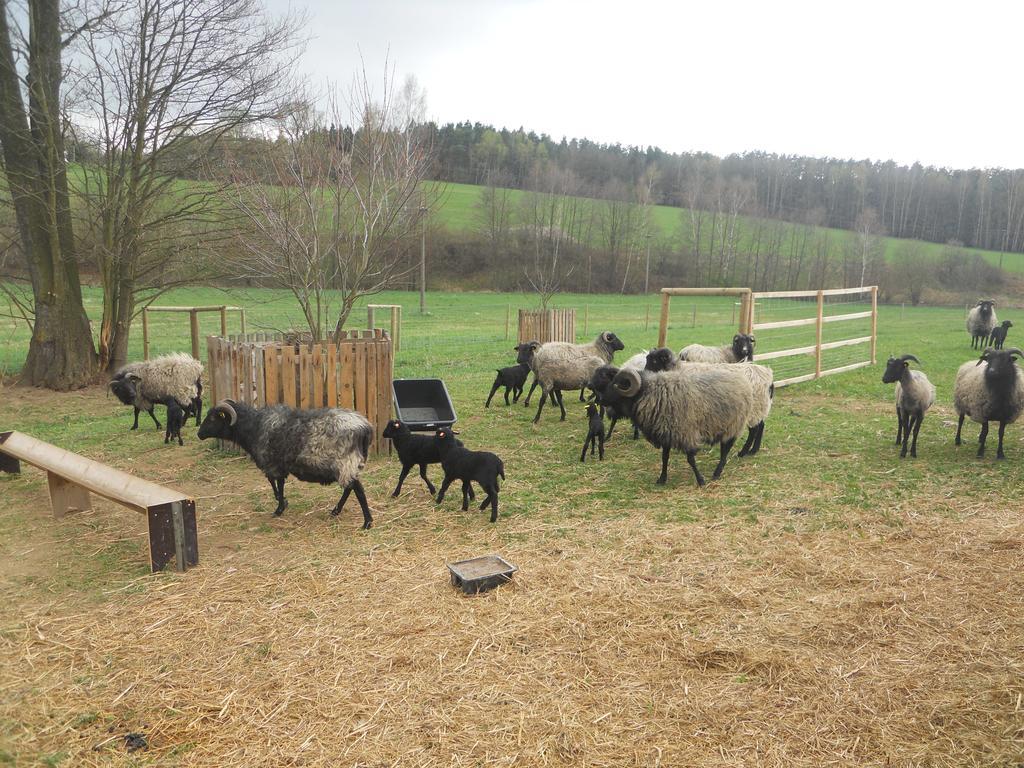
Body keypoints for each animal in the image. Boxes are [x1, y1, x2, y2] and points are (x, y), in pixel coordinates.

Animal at [598, 366, 753, 487]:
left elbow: (690, 460)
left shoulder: (687, 434)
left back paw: (717, 472)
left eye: (618, 384)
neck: (651, 394)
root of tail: (741, 379)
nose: (601, 399)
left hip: (733, 424)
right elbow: (664, 457)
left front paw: (701, 481)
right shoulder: (666, 433)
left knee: (725, 449)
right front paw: (662, 479)